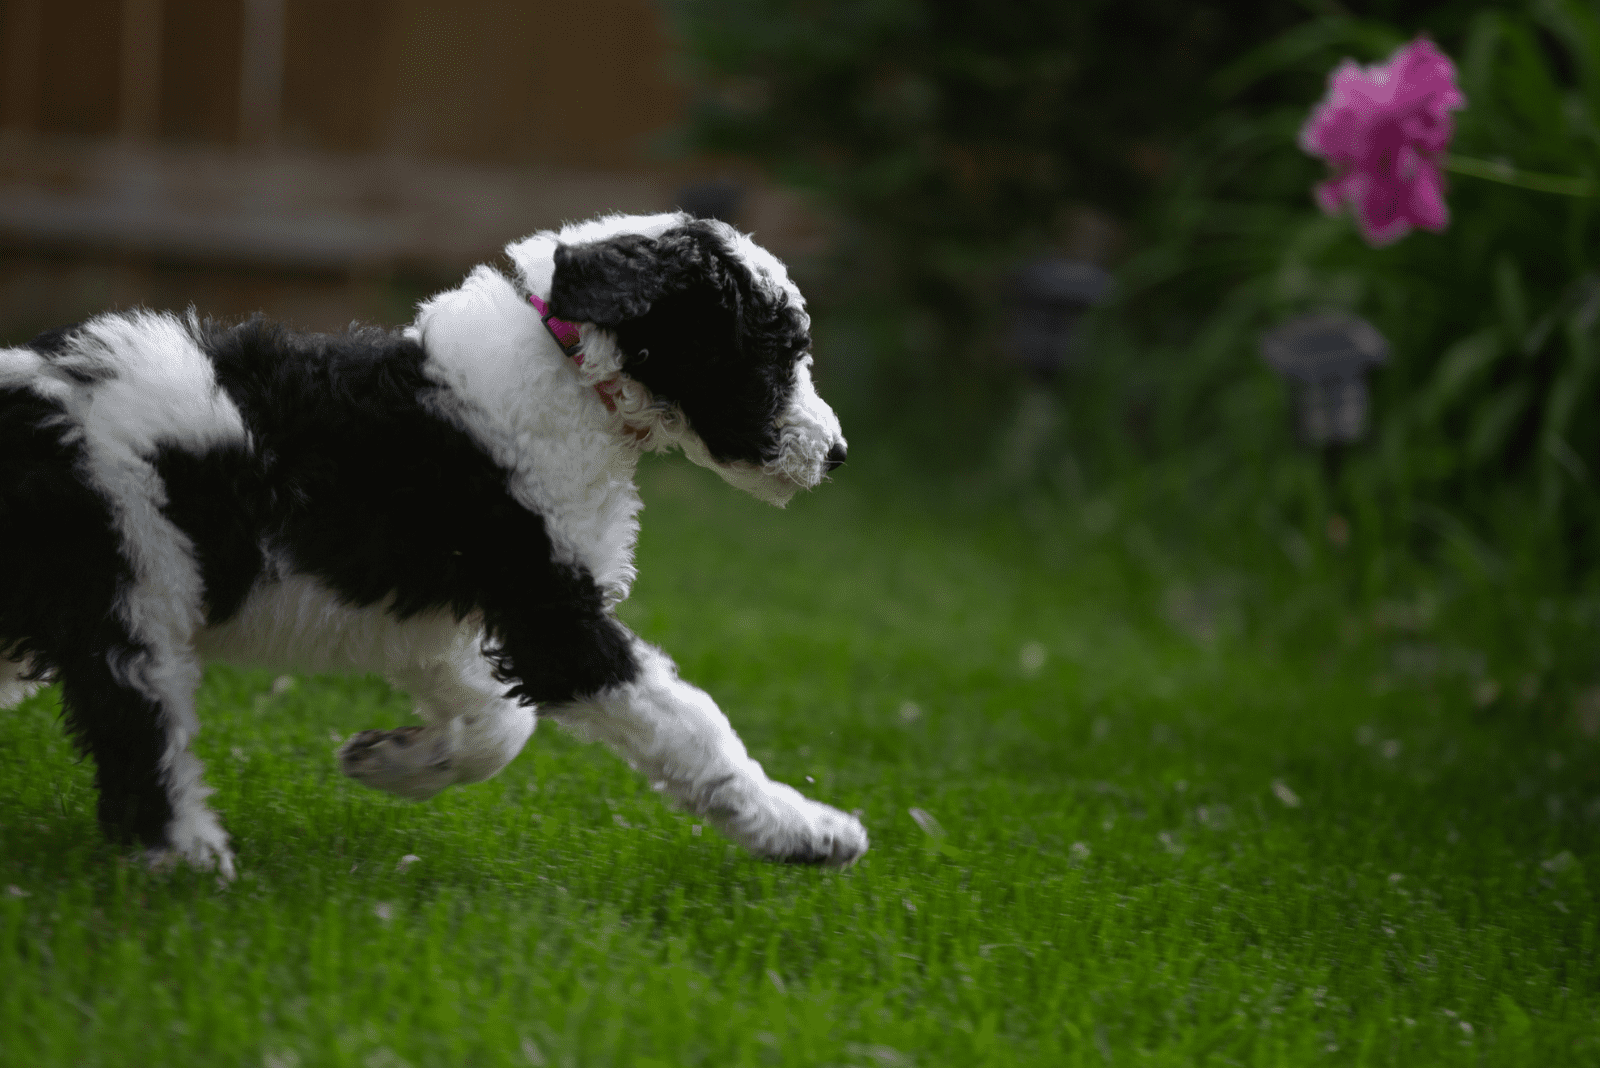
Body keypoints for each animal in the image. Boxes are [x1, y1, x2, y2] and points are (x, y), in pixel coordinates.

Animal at [0, 211, 870, 876]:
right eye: (777, 349)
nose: (836, 454)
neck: (569, 363)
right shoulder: (550, 612)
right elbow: (689, 724)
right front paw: (809, 832)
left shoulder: (423, 619)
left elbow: (497, 726)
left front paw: (390, 761)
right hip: (133, 583)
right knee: (138, 731)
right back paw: (192, 863)